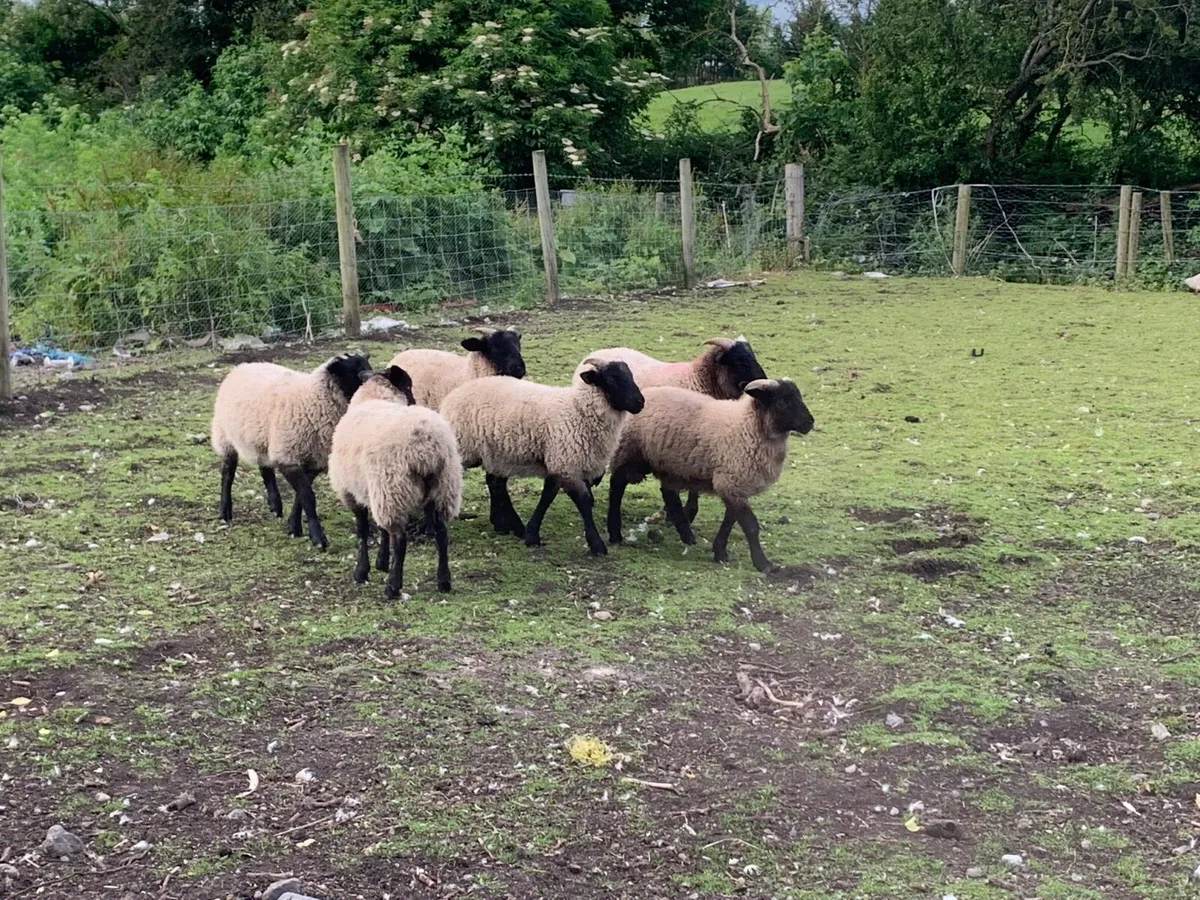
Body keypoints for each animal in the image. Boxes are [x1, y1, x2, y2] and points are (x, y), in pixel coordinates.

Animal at [211, 353, 372, 549]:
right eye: (354, 371)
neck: (314, 399)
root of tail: (242, 366)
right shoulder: (288, 457)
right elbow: (307, 497)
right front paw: (318, 537)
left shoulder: (313, 461)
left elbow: (300, 496)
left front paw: (294, 526)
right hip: (225, 435)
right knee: (228, 473)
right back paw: (225, 511)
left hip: (262, 439)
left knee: (265, 468)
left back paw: (275, 505)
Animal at [328, 365, 463, 599]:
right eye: (408, 386)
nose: (414, 400)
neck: (374, 397)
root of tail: (427, 447)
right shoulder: (372, 489)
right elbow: (380, 529)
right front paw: (381, 561)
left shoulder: (351, 491)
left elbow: (363, 530)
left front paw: (362, 571)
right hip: (444, 486)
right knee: (442, 533)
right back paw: (444, 581)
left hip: (393, 487)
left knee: (400, 539)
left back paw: (393, 586)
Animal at [439, 359, 644, 555]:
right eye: (611, 379)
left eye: (630, 376)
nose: (640, 402)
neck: (578, 410)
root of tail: (452, 396)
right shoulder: (566, 463)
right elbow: (583, 501)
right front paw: (597, 545)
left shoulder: (557, 462)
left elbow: (548, 496)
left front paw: (531, 534)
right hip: (464, 449)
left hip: (496, 453)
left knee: (495, 484)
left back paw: (508, 525)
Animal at [577, 336, 767, 519]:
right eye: (739, 359)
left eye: (752, 355)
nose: (763, 382)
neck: (698, 378)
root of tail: (596, 353)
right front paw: (685, 512)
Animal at [605, 378, 814, 572]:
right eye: (782, 402)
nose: (810, 423)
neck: (749, 426)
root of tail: (644, 395)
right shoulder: (731, 482)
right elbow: (750, 525)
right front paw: (763, 563)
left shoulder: (734, 486)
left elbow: (730, 521)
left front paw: (720, 552)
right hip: (633, 453)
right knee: (617, 484)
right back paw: (615, 532)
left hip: (669, 464)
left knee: (668, 493)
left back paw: (686, 533)